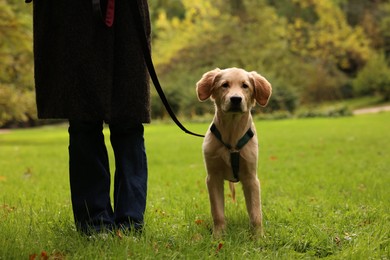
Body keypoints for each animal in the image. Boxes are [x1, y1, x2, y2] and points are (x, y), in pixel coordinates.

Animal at [195, 67, 272, 238]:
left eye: (245, 86)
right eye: (224, 85)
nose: (236, 99)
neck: (232, 134)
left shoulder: (251, 178)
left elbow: (256, 213)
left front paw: (259, 238)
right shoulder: (213, 177)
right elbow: (217, 212)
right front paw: (218, 236)